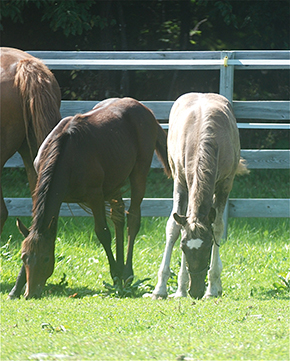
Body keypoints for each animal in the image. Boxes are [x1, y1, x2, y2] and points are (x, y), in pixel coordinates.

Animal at [11, 97, 171, 298]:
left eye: (46, 258)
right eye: (24, 257)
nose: (31, 293)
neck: (66, 153)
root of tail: (146, 110)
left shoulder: (95, 195)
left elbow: (103, 233)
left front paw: (115, 276)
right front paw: (15, 289)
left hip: (138, 175)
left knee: (133, 219)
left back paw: (126, 274)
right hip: (115, 183)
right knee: (118, 218)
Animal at [151, 92, 248, 298]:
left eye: (210, 245)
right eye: (183, 247)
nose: (195, 290)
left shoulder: (225, 185)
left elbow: (217, 226)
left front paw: (212, 287)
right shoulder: (180, 182)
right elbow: (174, 227)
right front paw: (163, 288)